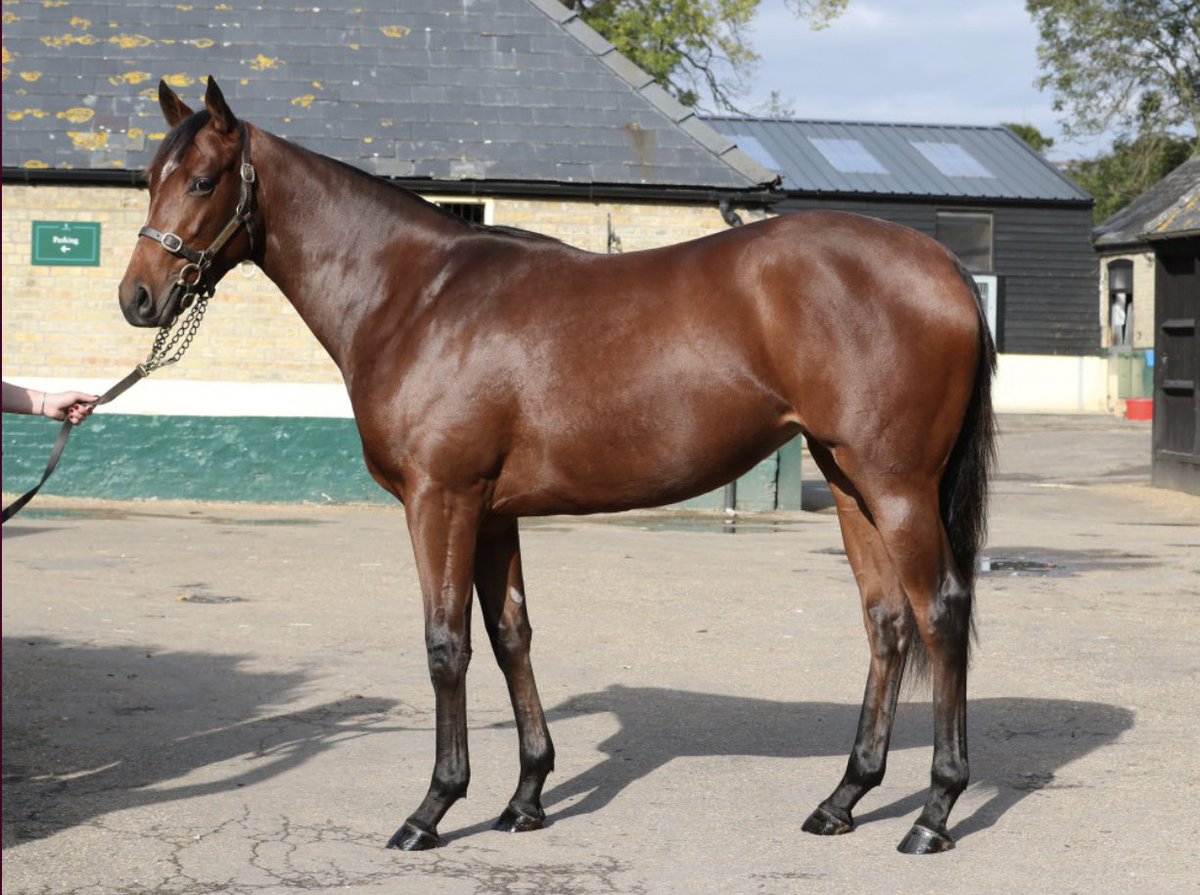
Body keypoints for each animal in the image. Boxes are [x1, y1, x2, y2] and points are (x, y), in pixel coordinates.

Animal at [118, 77, 996, 856]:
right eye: (149, 179)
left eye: (202, 180)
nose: (138, 298)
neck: (415, 297)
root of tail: (945, 268)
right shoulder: (492, 511)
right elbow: (511, 635)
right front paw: (527, 797)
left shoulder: (440, 499)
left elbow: (447, 643)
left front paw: (433, 808)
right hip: (851, 482)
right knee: (886, 621)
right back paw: (843, 798)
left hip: (896, 486)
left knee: (940, 611)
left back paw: (934, 812)